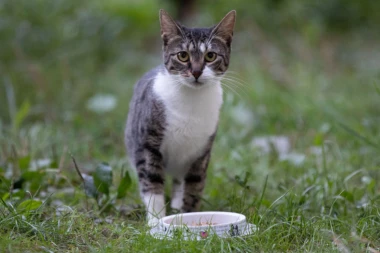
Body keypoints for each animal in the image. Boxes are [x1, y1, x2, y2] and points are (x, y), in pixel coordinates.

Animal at [126, 8, 236, 225]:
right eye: (183, 56)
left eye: (211, 56)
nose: (196, 71)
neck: (191, 104)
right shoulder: (147, 143)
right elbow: (152, 183)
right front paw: (156, 221)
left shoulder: (201, 151)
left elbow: (194, 185)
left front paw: (188, 215)